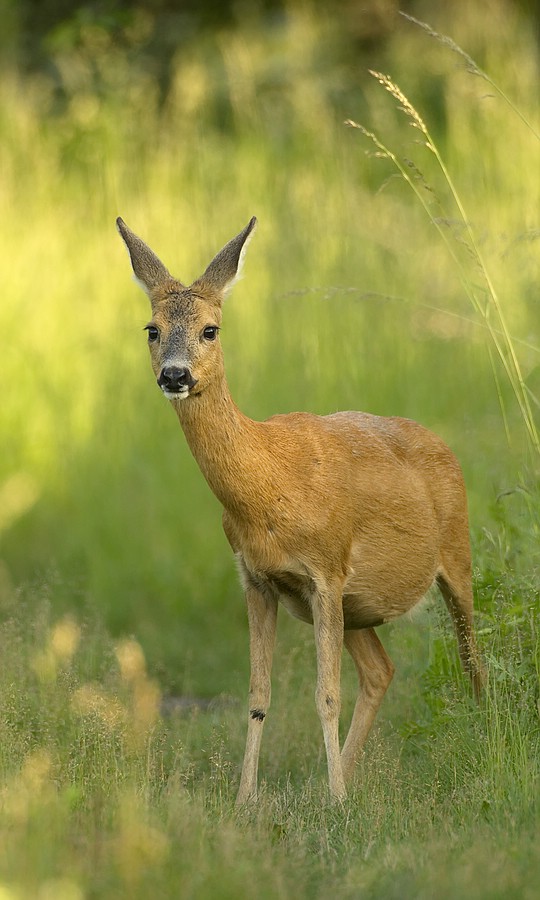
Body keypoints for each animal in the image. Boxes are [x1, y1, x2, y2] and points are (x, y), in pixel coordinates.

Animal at [117, 216, 486, 800]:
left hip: (455, 554)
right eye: (151, 329)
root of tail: (442, 444)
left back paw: (482, 739)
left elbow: (325, 694)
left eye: (210, 330)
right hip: (359, 607)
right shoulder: (258, 579)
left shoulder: (326, 572)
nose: (174, 375)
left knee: (472, 655)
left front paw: (335, 804)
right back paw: (338, 778)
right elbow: (258, 694)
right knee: (381, 669)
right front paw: (247, 799)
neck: (270, 488)